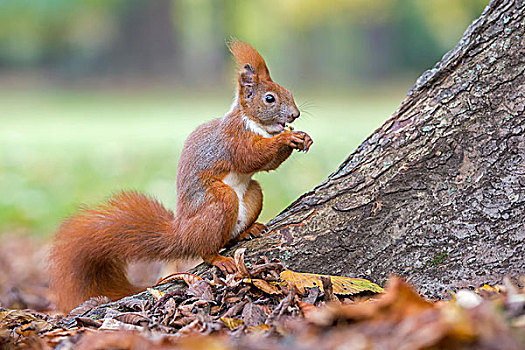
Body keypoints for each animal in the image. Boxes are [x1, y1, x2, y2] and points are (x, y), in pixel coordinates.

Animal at [49, 40, 312, 312]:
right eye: (269, 98)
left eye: (288, 91)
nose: (295, 115)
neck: (254, 123)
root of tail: (183, 234)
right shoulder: (233, 138)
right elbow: (249, 156)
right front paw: (287, 137)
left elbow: (267, 164)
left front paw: (303, 137)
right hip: (219, 200)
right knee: (207, 248)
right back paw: (219, 257)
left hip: (253, 193)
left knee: (233, 232)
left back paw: (248, 230)